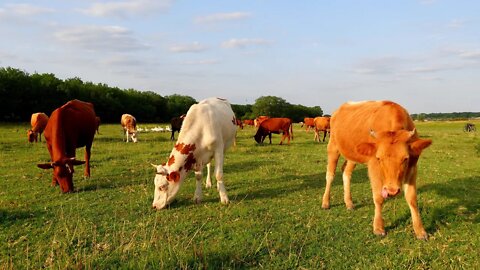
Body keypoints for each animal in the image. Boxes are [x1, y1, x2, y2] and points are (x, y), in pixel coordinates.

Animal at [322, 100, 432, 238]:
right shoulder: (373, 166)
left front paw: (420, 230)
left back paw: (349, 202)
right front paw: (378, 227)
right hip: (333, 147)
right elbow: (378, 198)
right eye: (379, 158)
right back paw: (326, 202)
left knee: (346, 171)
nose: (392, 191)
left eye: (405, 158)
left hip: (353, 154)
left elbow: (412, 198)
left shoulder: (412, 167)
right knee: (330, 175)